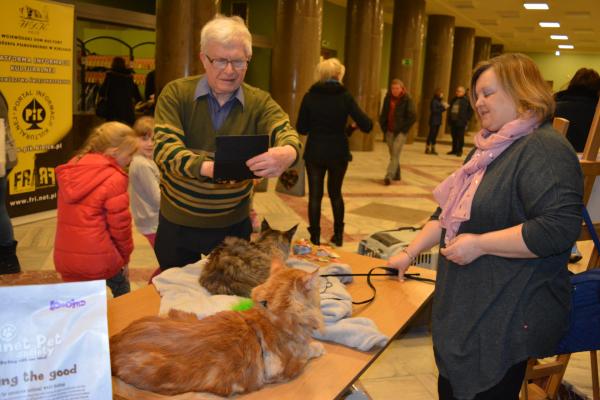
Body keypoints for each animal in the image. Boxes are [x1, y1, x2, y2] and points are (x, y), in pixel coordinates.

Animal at [108, 266, 324, 396]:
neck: (270, 315)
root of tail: (114, 342)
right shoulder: (289, 368)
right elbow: (307, 351)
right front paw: (317, 346)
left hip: (181, 315)